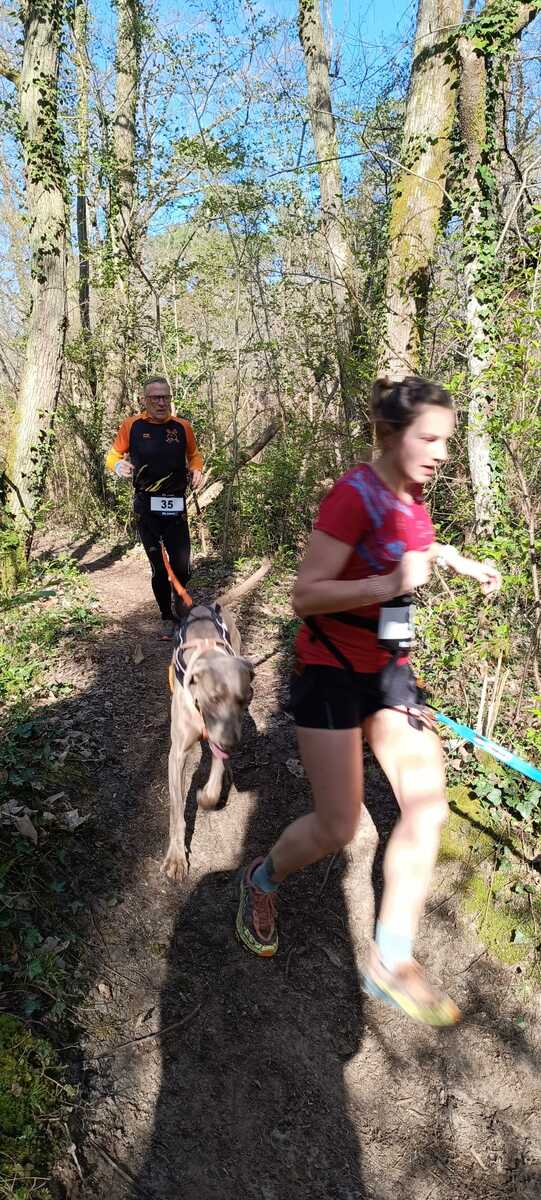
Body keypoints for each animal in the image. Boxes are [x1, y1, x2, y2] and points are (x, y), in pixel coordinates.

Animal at [161, 561, 270, 881]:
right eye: (214, 698)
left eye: (245, 699)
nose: (233, 745)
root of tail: (207, 604)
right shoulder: (177, 753)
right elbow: (176, 810)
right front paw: (176, 857)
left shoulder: (221, 736)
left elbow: (214, 775)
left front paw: (208, 796)